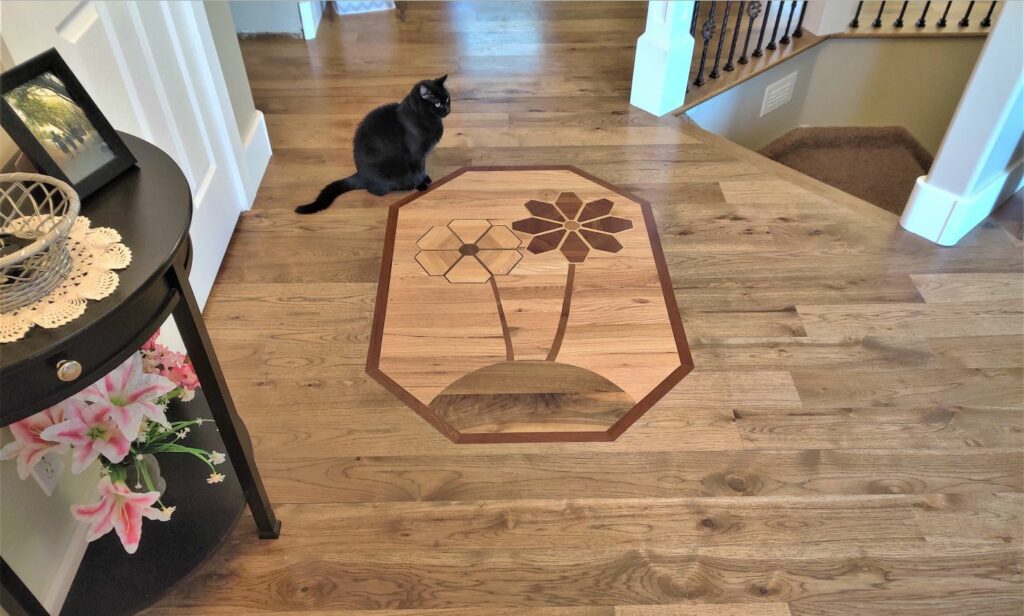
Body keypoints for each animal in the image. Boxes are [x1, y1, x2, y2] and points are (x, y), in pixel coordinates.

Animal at [294, 74, 450, 213]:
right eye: (437, 104)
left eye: (447, 99)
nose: (448, 109)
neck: (427, 119)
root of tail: (359, 175)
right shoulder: (415, 155)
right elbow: (417, 171)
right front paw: (421, 185)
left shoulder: (423, 155)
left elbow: (423, 168)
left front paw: (426, 178)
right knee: (376, 190)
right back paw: (407, 186)